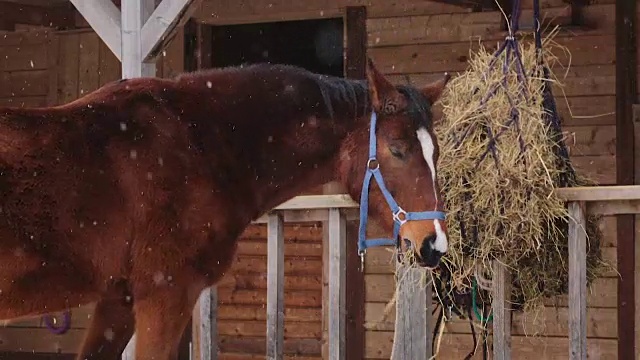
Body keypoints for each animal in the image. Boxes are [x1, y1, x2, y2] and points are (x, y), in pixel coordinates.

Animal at [0, 57, 450, 358]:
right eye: (397, 150)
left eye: (437, 153)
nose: (433, 244)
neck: (198, 143)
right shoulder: (165, 296)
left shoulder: (119, 301)